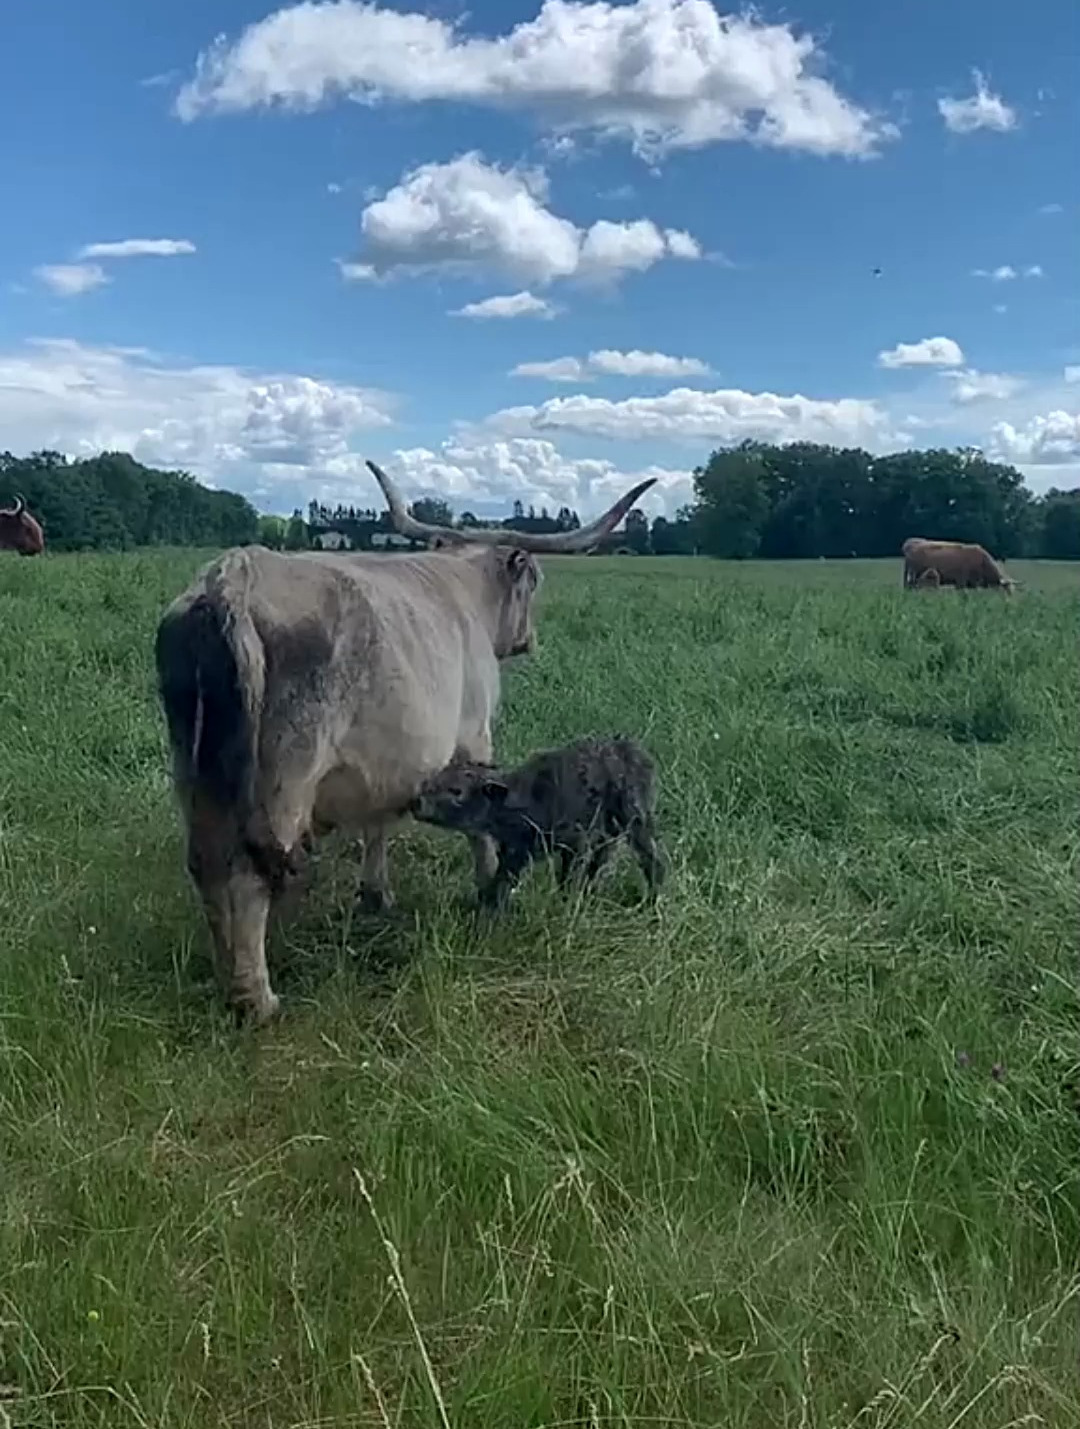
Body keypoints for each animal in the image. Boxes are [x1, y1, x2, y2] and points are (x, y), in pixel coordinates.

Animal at [408, 731, 662, 908]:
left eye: (456, 791)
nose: (417, 803)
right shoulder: (515, 850)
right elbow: (503, 879)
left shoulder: (574, 840)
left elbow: (567, 878)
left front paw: (565, 903)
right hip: (609, 827)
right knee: (604, 854)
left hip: (635, 815)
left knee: (652, 857)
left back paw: (652, 900)